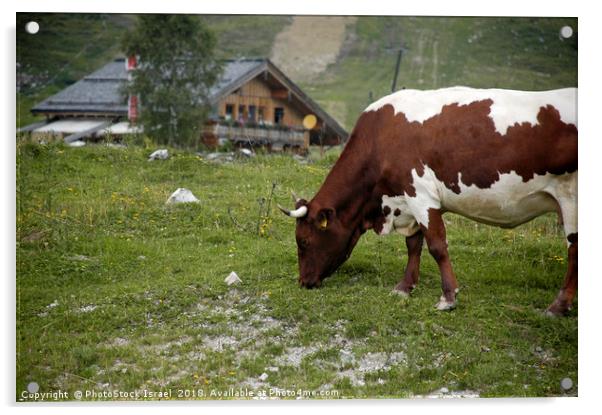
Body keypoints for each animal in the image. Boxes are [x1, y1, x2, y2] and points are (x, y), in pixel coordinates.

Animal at [278, 86, 576, 316]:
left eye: (303, 241)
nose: (303, 281)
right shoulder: (407, 203)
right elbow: (413, 245)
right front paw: (405, 287)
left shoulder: (421, 196)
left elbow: (436, 246)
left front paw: (448, 298)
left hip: (570, 198)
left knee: (573, 250)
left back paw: (558, 306)